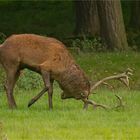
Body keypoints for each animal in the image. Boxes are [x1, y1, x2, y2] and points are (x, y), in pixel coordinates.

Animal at [0, 34, 132, 109]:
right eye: (79, 96)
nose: (62, 96)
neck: (61, 72)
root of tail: (2, 45)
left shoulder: (52, 75)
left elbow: (51, 90)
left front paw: (51, 107)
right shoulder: (45, 67)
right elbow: (47, 87)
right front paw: (30, 102)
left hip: (19, 68)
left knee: (10, 86)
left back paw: (15, 105)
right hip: (11, 64)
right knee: (7, 85)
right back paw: (12, 107)